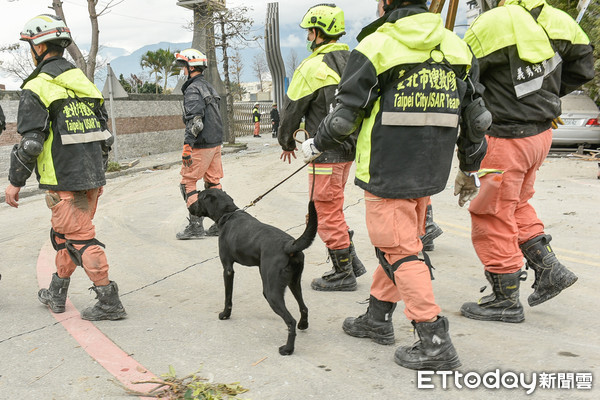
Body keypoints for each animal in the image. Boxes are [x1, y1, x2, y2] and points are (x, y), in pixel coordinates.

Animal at [190, 189, 318, 354]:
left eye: (199, 198)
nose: (189, 207)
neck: (228, 213)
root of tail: (289, 245)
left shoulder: (228, 269)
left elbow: (228, 297)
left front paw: (225, 315)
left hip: (271, 292)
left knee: (290, 321)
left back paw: (288, 349)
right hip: (294, 283)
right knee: (303, 307)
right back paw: (303, 324)